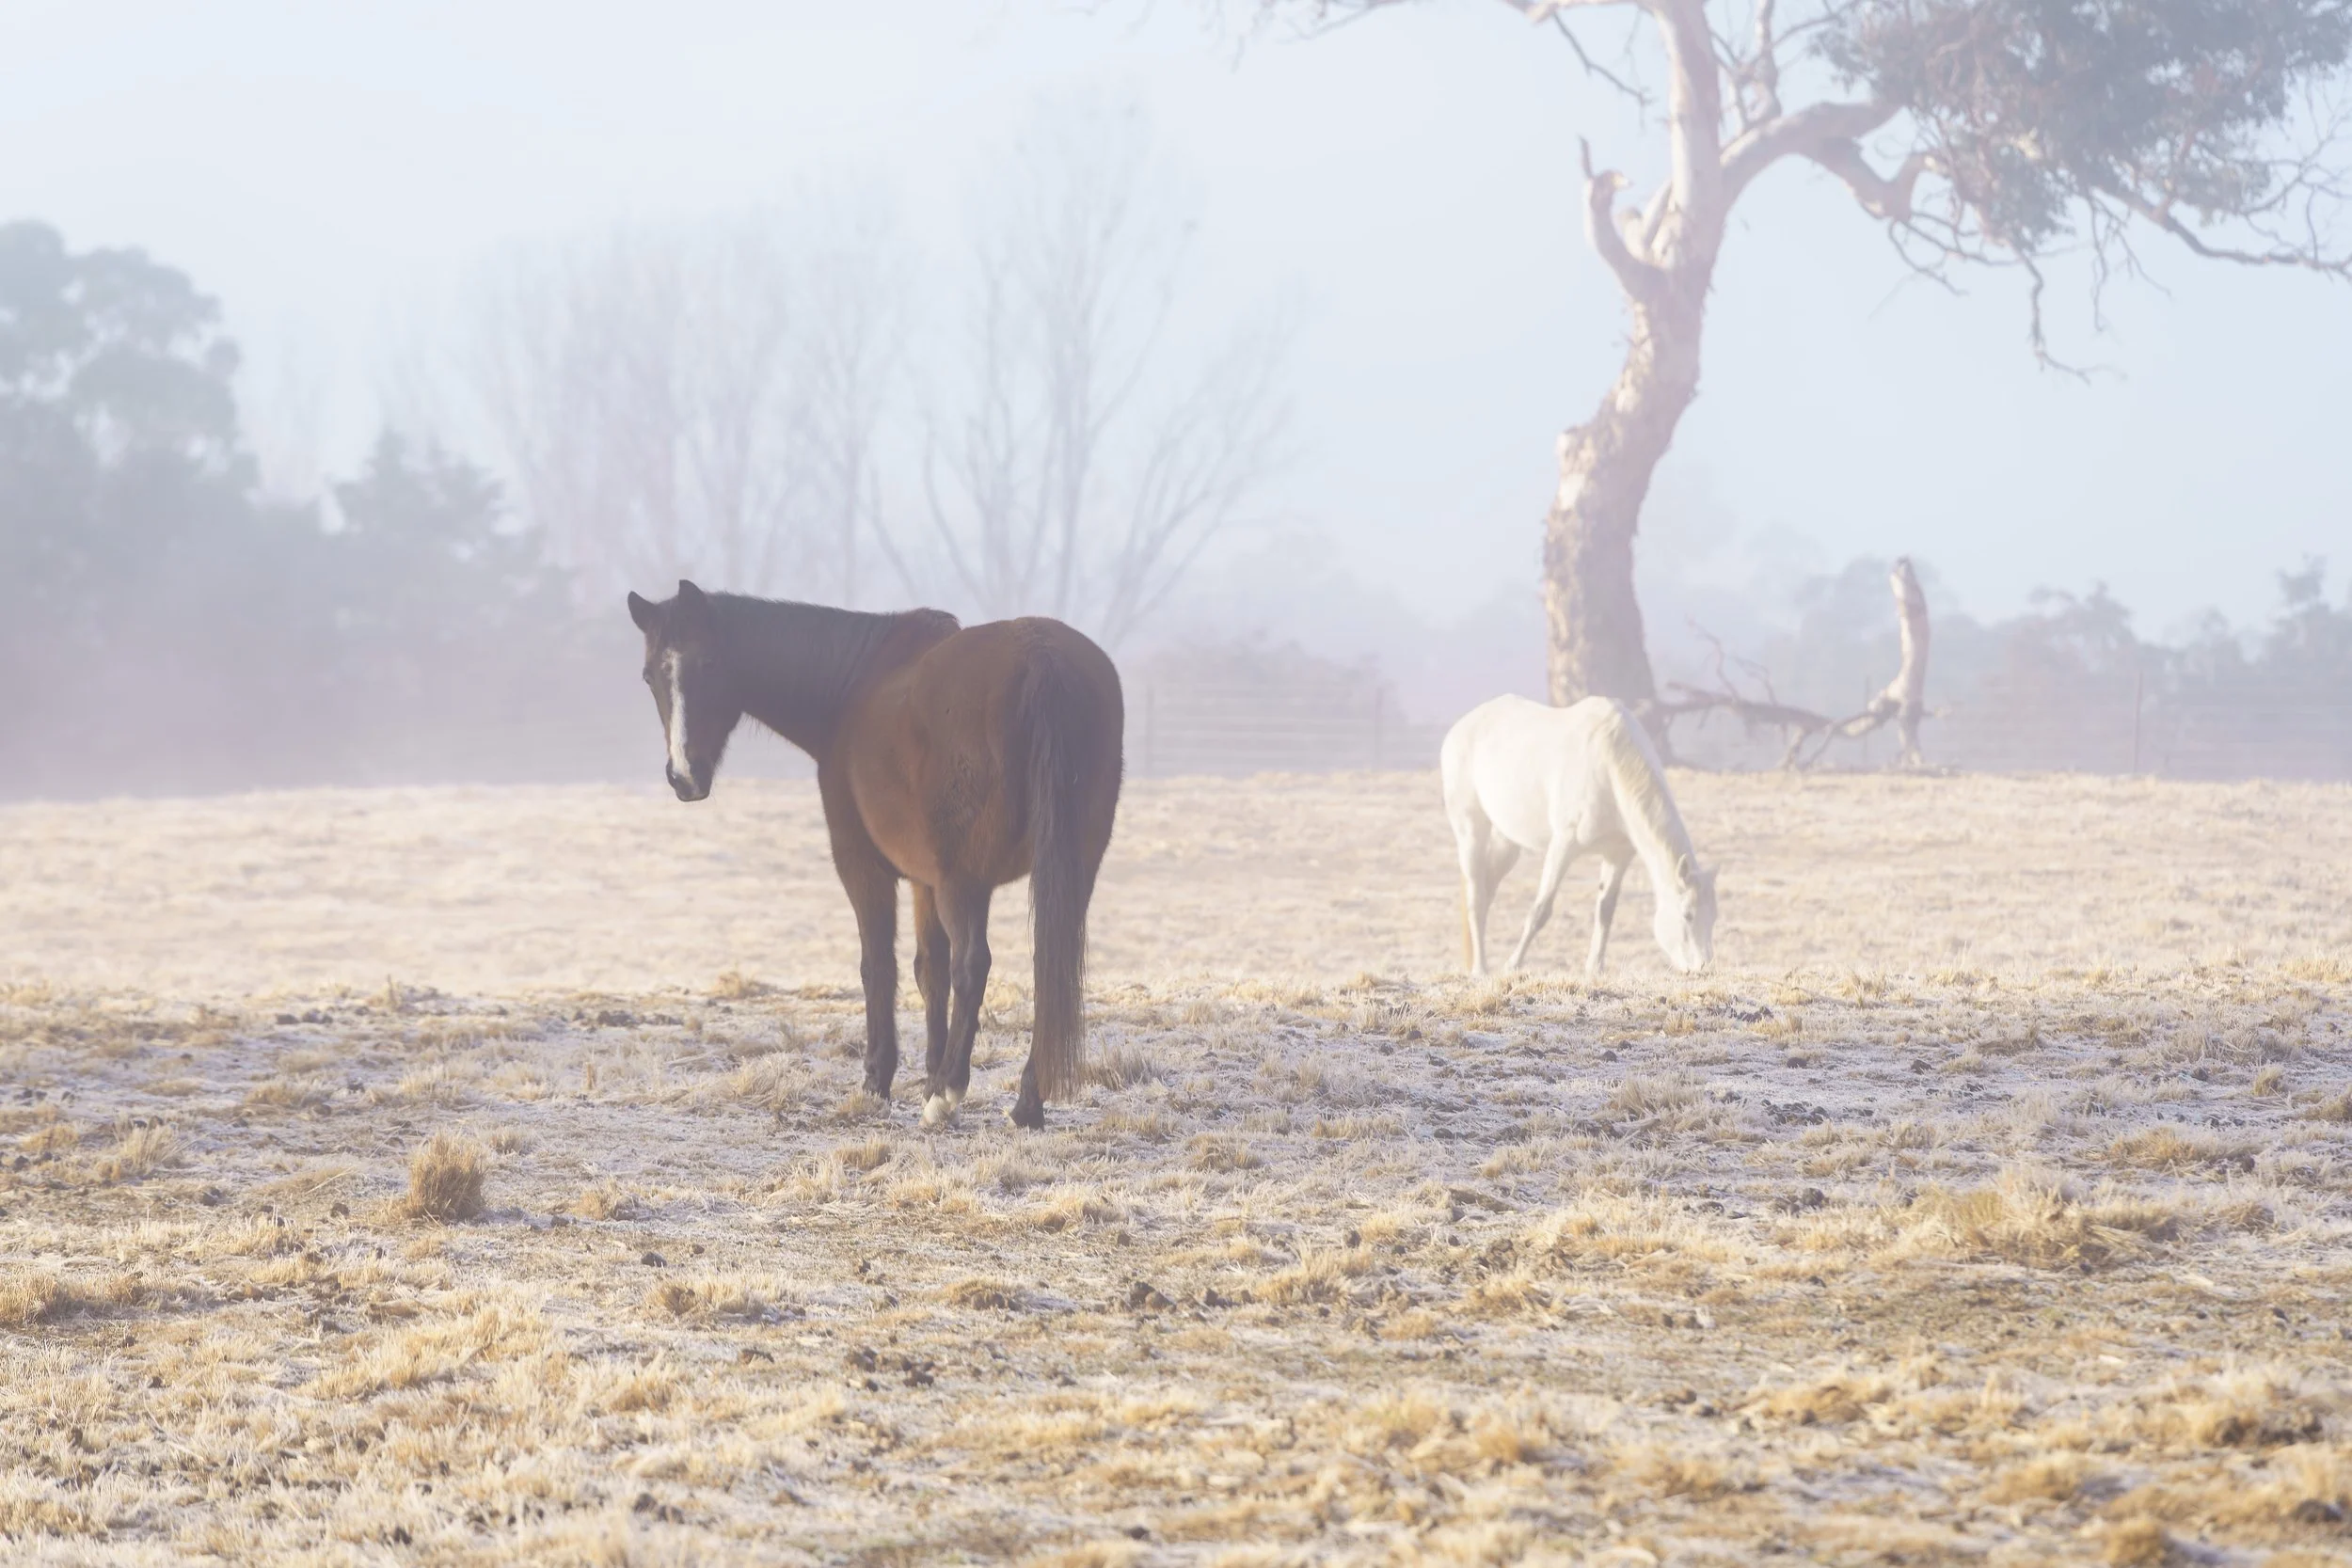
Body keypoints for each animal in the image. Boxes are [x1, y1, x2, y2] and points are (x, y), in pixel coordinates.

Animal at [626, 581, 1124, 1130]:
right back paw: (1024, 1103)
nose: (684, 776)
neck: (854, 687)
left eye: (709, 663)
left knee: (975, 964)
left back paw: (949, 1092)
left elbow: (878, 965)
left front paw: (880, 1083)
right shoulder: (925, 881)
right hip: (1071, 868)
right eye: (650, 675)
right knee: (1048, 968)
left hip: (966, 880)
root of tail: (1040, 656)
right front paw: (927, 1074)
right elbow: (930, 970)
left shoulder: (864, 867)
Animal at [1441, 694, 1716, 978]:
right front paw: (1512, 966)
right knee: (1476, 897)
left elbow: (1605, 910)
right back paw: (1480, 969)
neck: (1609, 766)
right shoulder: (1563, 846)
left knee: (1487, 891)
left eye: (1714, 917)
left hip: (1507, 843)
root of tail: (1461, 728)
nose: (1703, 968)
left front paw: (1595, 969)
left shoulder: (1618, 854)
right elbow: (1540, 911)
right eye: (1687, 914)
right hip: (1470, 831)